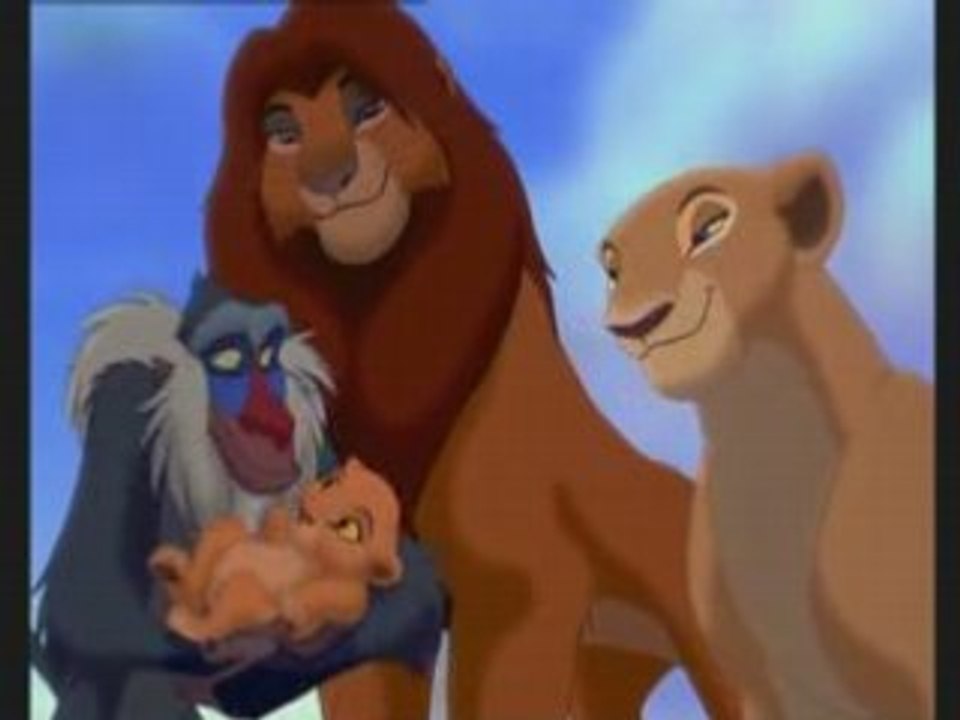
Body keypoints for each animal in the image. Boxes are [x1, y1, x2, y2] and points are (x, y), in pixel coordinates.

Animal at [149, 458, 403, 648]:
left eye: (349, 528)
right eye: (329, 483)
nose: (308, 513)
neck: (306, 554)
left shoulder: (351, 593)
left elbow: (345, 603)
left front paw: (296, 608)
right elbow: (274, 532)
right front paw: (276, 519)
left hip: (245, 592)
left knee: (215, 624)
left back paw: (184, 620)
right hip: (222, 544)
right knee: (217, 546)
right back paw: (171, 569)